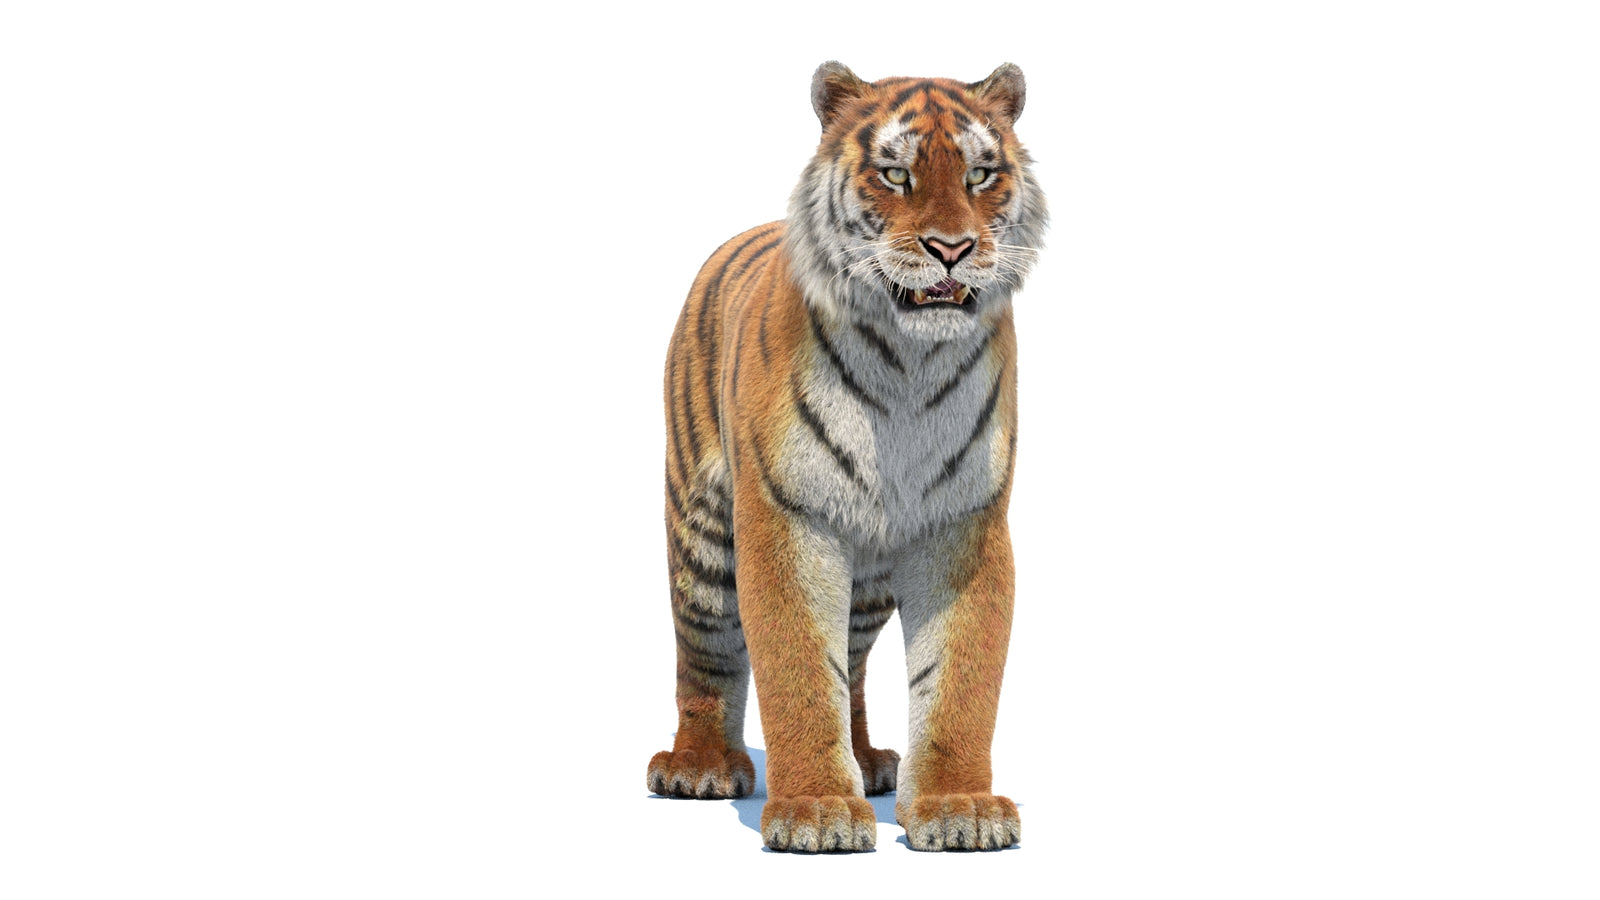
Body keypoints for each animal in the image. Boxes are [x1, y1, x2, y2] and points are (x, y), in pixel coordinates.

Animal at [646, 61, 1047, 852]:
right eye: (894, 174)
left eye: (981, 173)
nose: (951, 248)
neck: (908, 365)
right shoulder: (786, 520)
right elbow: (800, 669)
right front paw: (817, 812)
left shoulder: (965, 525)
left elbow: (959, 677)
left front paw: (958, 806)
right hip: (703, 541)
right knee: (705, 657)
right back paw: (699, 767)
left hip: (868, 582)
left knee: (854, 667)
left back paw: (868, 761)